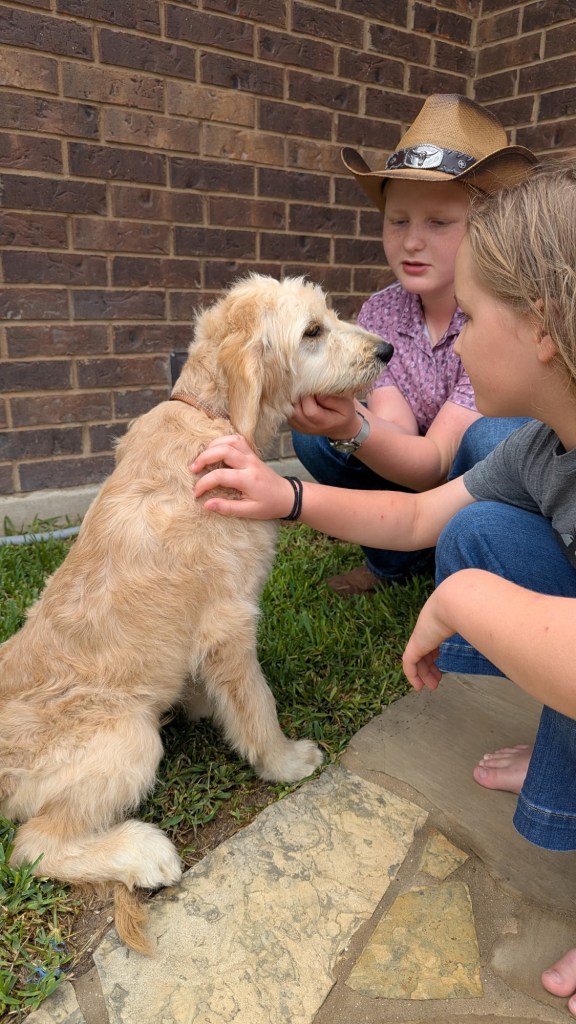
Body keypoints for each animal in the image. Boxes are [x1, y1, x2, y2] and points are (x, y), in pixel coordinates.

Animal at [0, 274, 393, 952]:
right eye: (312, 331)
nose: (387, 351)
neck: (209, 414)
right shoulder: (229, 624)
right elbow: (257, 704)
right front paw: (284, 762)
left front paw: (204, 706)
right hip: (127, 735)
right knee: (33, 845)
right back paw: (143, 853)